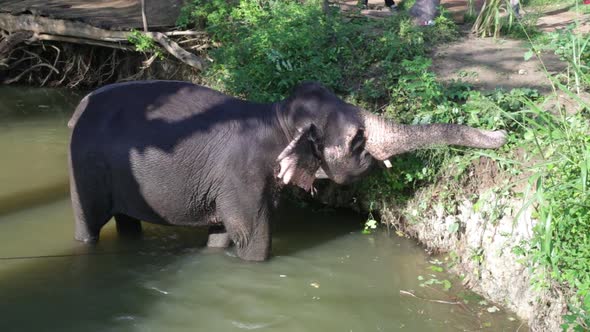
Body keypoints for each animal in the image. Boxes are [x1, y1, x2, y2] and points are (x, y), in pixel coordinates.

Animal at [67, 81, 506, 262]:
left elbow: (223, 234)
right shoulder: (241, 176)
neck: (278, 115)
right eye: (357, 140)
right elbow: (252, 235)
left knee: (126, 221)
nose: (503, 132)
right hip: (82, 167)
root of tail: (78, 108)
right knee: (88, 223)